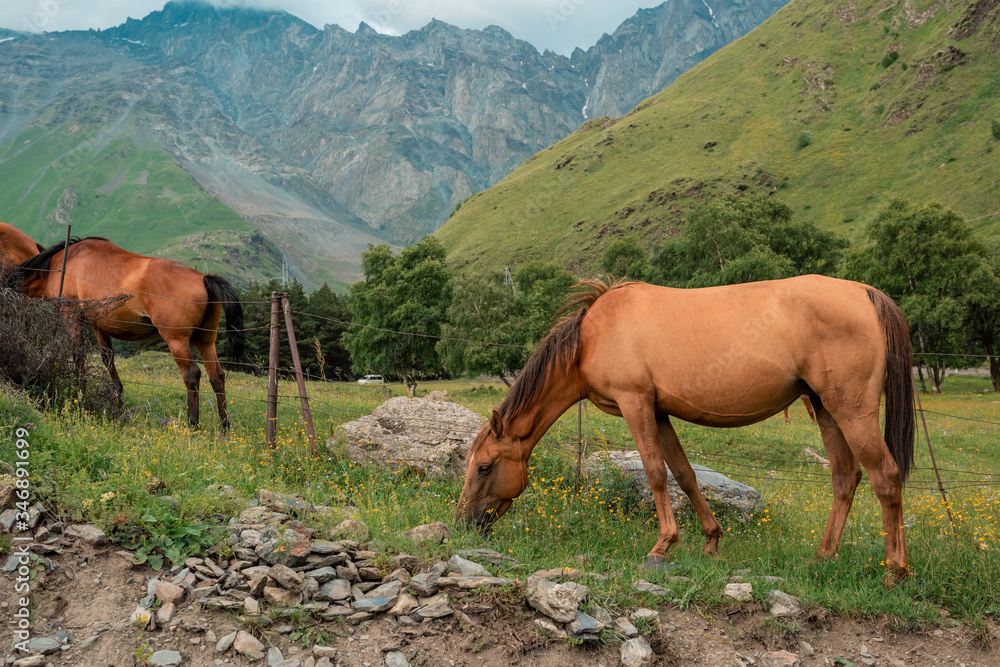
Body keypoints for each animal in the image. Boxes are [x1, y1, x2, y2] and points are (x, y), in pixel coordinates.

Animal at [8, 237, 245, 430]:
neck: (60, 264)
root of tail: (203, 277)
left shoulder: (71, 316)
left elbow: (78, 356)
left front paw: (80, 389)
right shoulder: (98, 325)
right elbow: (107, 359)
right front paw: (117, 398)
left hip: (177, 341)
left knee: (192, 375)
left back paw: (192, 423)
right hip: (204, 341)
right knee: (217, 376)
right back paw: (224, 426)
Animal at [458, 274, 916, 588]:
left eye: (484, 467)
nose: (463, 522)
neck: (591, 337)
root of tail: (865, 292)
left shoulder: (635, 403)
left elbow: (655, 473)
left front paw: (663, 545)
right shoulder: (659, 412)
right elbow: (684, 474)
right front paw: (711, 540)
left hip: (851, 411)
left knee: (885, 477)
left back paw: (895, 571)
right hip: (825, 408)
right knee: (845, 478)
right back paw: (822, 557)